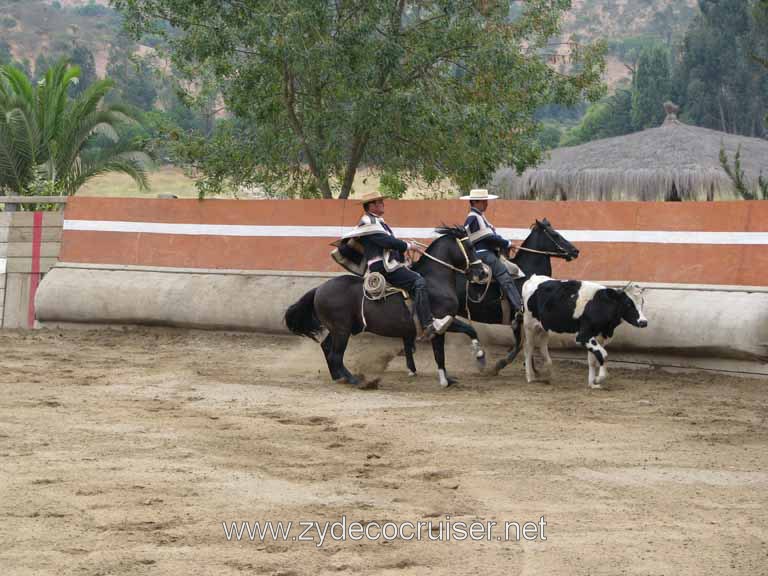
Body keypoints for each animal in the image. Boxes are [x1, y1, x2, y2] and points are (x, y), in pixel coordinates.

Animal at [284, 226, 488, 388]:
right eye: (470, 247)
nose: (482, 272)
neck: (434, 281)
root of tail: (319, 289)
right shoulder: (439, 324)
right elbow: (452, 344)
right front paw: (475, 360)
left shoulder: (443, 326)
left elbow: (455, 342)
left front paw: (455, 374)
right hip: (342, 330)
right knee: (335, 355)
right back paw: (356, 380)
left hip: (338, 330)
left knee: (326, 348)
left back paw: (338, 377)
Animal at [402, 218, 576, 376]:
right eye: (555, 234)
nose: (575, 251)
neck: (527, 276)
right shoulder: (518, 319)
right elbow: (520, 344)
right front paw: (499, 365)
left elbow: (526, 343)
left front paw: (532, 368)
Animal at [520, 276, 648, 392]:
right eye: (628, 304)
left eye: (642, 302)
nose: (643, 322)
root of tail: (533, 278)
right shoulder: (583, 337)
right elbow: (603, 354)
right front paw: (598, 379)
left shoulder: (599, 337)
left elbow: (593, 360)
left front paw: (592, 384)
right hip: (529, 326)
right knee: (528, 348)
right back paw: (530, 377)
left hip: (543, 328)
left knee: (542, 347)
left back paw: (548, 372)